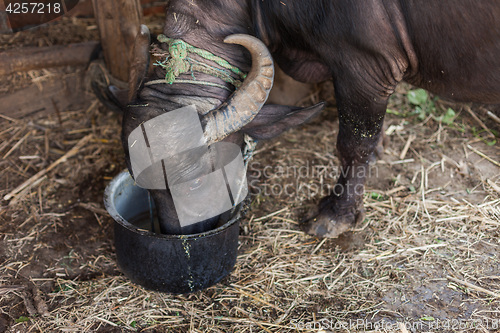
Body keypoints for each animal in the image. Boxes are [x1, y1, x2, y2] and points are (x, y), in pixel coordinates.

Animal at [119, 1, 498, 237]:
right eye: (143, 185)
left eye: (196, 183)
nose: (180, 233)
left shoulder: (365, 68)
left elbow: (353, 144)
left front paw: (335, 215)